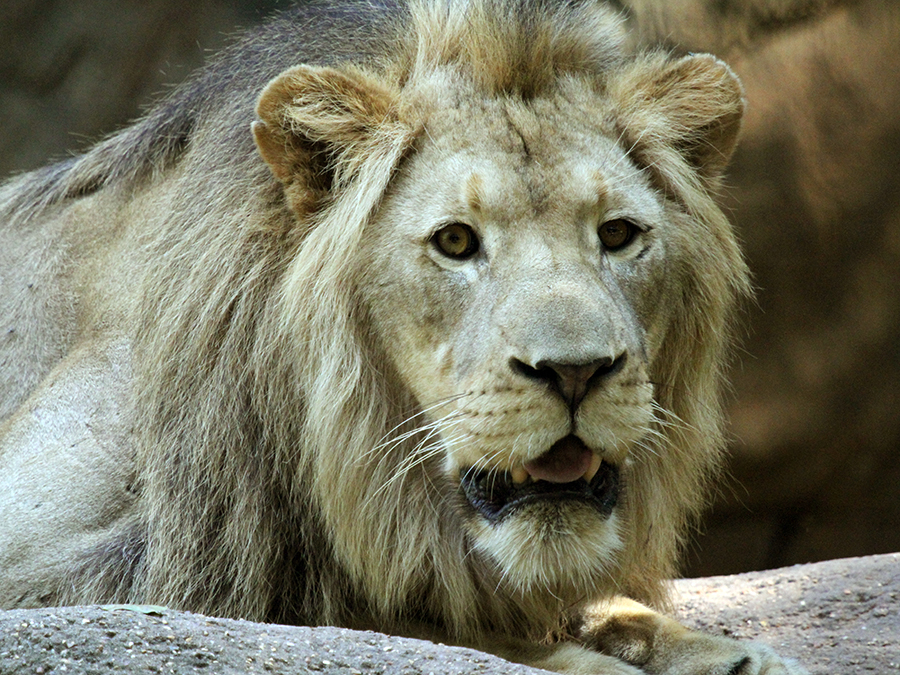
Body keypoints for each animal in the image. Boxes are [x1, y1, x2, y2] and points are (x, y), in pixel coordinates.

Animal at [0, 0, 800, 672]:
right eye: (455, 241)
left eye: (618, 235)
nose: (576, 371)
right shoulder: (53, 568)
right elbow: (386, 614)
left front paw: (725, 653)